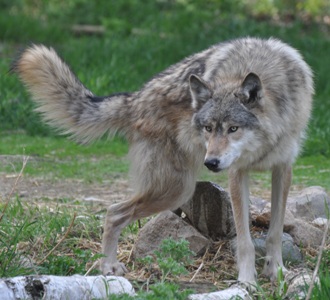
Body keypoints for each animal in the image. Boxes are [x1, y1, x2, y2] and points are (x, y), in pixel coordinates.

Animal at [12, 37, 312, 284]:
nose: (212, 163)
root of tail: (134, 98)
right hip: (176, 190)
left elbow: (274, 233)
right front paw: (247, 282)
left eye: (232, 129)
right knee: (113, 212)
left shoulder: (283, 169)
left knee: (114, 212)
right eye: (208, 128)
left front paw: (277, 272)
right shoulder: (237, 174)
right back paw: (108, 267)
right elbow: (246, 241)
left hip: (175, 190)